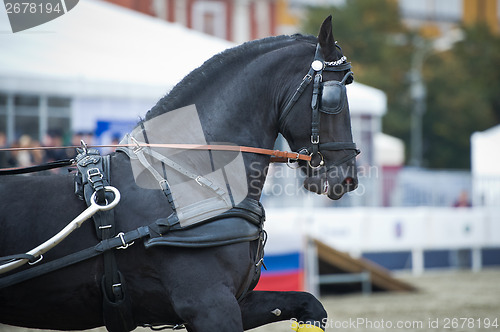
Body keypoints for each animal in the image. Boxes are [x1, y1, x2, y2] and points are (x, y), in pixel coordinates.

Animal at [0, 17, 360, 332]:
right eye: (334, 96)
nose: (348, 178)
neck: (189, 182)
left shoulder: (234, 302)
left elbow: (312, 304)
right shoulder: (209, 304)